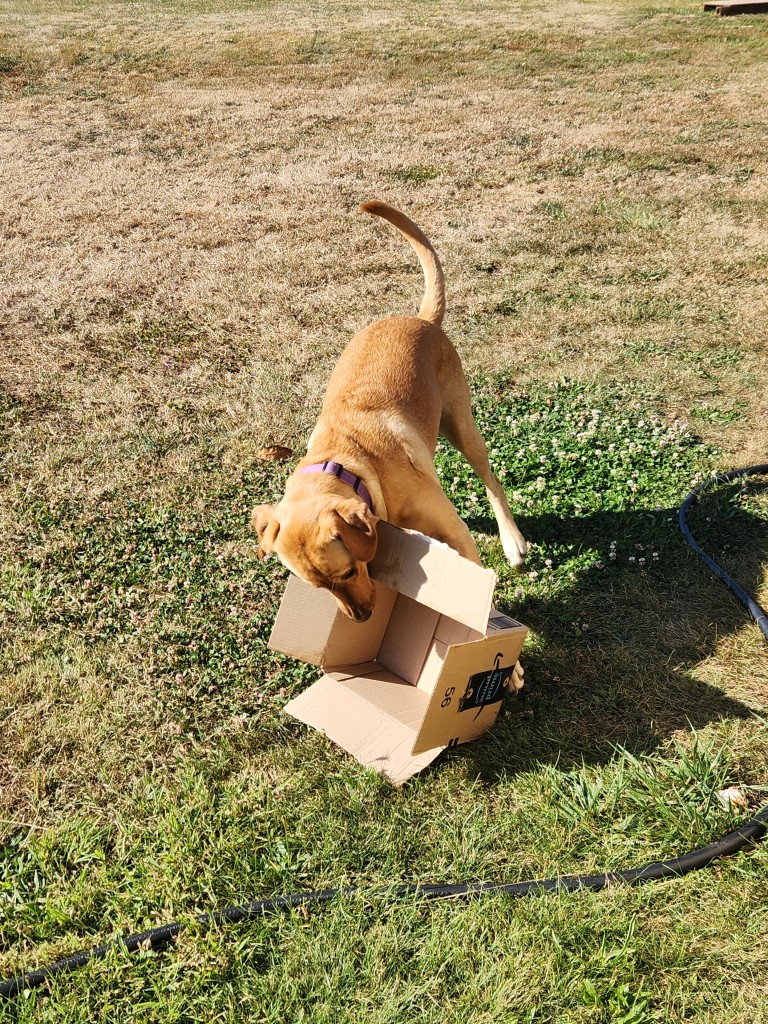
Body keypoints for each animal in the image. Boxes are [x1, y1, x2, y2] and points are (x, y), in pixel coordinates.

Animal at [252, 195, 528, 618]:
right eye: (319, 587)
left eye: (348, 571)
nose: (362, 618)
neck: (352, 464)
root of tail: (421, 319)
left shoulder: (455, 532)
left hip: (462, 425)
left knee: (493, 482)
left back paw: (513, 542)